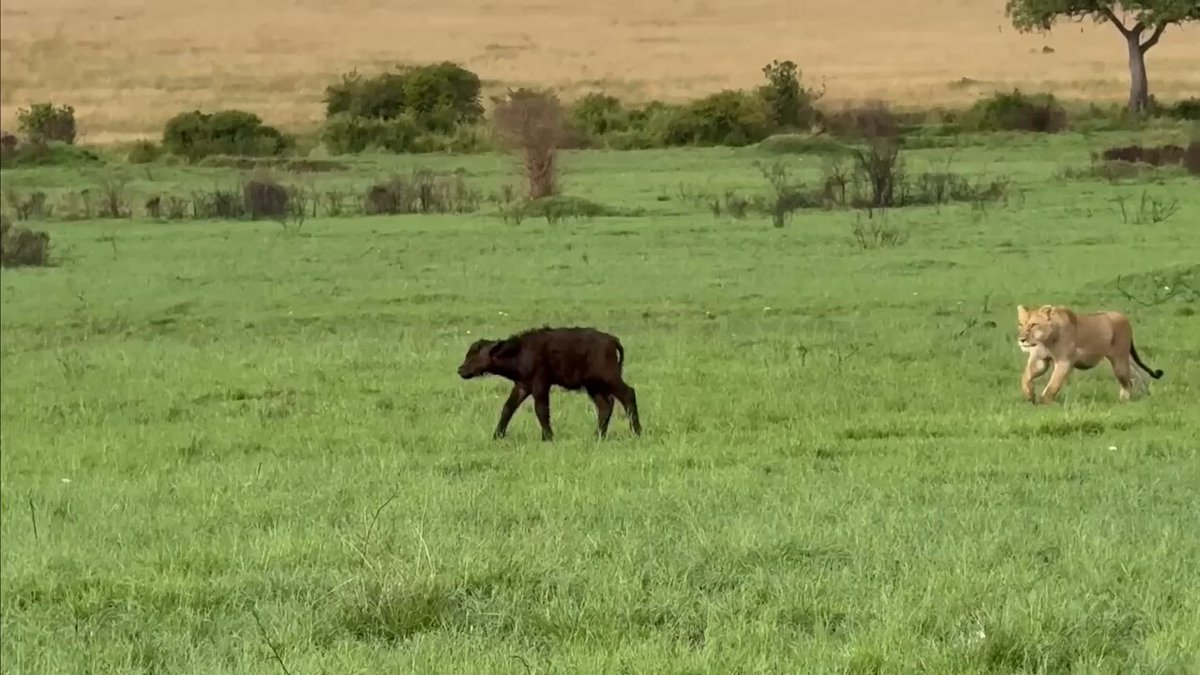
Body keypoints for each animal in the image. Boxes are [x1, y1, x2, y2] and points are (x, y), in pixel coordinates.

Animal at [457, 326, 642, 441]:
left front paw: (548, 437)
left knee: (628, 394)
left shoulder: (540, 385)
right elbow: (508, 408)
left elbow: (541, 410)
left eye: (475, 354)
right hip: (594, 385)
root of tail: (611, 340)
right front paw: (497, 436)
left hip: (609, 379)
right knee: (605, 405)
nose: (460, 370)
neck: (520, 351)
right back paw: (598, 435)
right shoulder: (522, 386)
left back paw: (637, 432)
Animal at [1016, 304, 1164, 404]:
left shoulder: (1064, 362)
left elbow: (1052, 385)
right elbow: (1025, 377)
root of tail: (1122, 316)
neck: (1045, 341)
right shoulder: (1039, 360)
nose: (1021, 339)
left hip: (1119, 361)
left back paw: (1124, 400)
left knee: (1127, 382)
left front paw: (1044, 404)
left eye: (1033, 325)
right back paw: (1146, 394)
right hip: (1125, 360)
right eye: (1021, 325)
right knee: (1138, 375)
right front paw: (1029, 395)